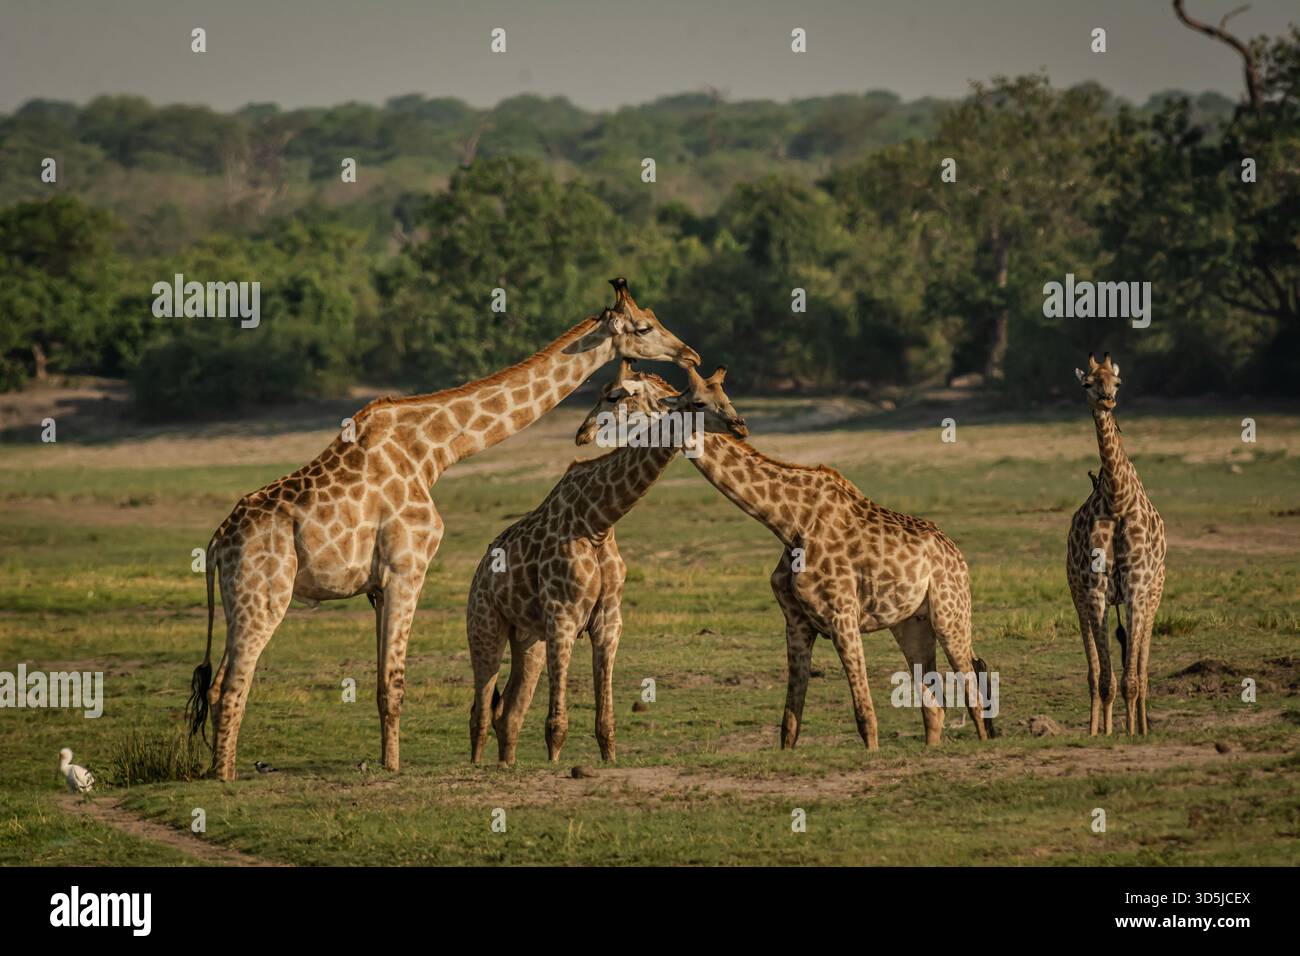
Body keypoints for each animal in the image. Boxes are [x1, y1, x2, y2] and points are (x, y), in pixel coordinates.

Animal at [185, 279, 700, 780]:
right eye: (642, 327)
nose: (690, 354)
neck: (433, 451)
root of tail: (216, 543)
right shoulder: (407, 566)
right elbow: (394, 683)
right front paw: (393, 769)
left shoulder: (378, 586)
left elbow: (382, 680)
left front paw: (386, 760)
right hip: (264, 596)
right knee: (232, 683)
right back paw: (224, 777)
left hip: (240, 600)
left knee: (215, 685)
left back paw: (217, 769)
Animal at [467, 360, 748, 766]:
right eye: (697, 402)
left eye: (724, 395)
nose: (739, 425)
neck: (597, 522)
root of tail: (479, 572)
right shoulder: (563, 617)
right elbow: (556, 725)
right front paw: (554, 765)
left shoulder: (608, 622)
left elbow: (605, 722)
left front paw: (609, 759)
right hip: (485, 625)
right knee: (481, 710)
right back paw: (478, 764)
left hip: (527, 638)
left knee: (509, 713)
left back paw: (506, 765)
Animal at [682, 367, 995, 750]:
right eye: (696, 400)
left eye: (708, 399)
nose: (739, 425)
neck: (788, 522)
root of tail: (956, 553)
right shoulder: (796, 622)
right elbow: (789, 723)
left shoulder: (842, 614)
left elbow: (864, 715)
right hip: (911, 623)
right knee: (933, 704)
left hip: (950, 613)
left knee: (972, 689)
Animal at [1066, 353, 1167, 736]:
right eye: (1087, 382)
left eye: (1117, 382)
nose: (1107, 399)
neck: (1117, 499)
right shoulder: (1095, 590)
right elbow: (1106, 678)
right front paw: (1106, 734)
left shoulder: (1138, 588)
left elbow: (1131, 679)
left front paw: (1133, 732)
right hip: (1079, 595)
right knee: (1095, 674)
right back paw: (1100, 727)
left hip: (1155, 593)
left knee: (1141, 669)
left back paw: (1141, 725)